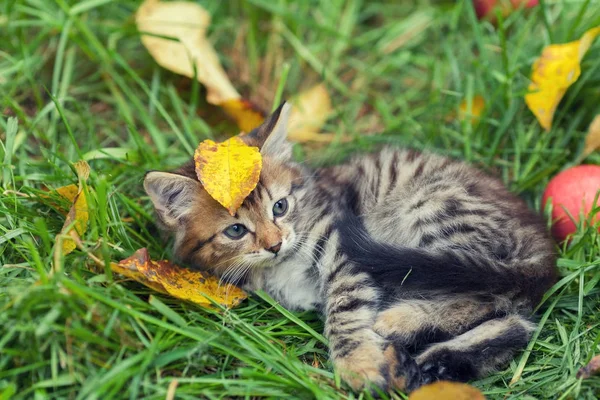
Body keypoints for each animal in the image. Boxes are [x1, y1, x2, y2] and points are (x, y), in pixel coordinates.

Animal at [145, 101, 556, 392]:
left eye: (280, 207)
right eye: (235, 231)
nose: (275, 244)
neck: (280, 267)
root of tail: (543, 247)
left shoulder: (342, 247)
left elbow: (344, 310)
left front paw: (357, 365)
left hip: (431, 210)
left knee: (482, 297)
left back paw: (400, 322)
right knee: (515, 322)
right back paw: (430, 362)